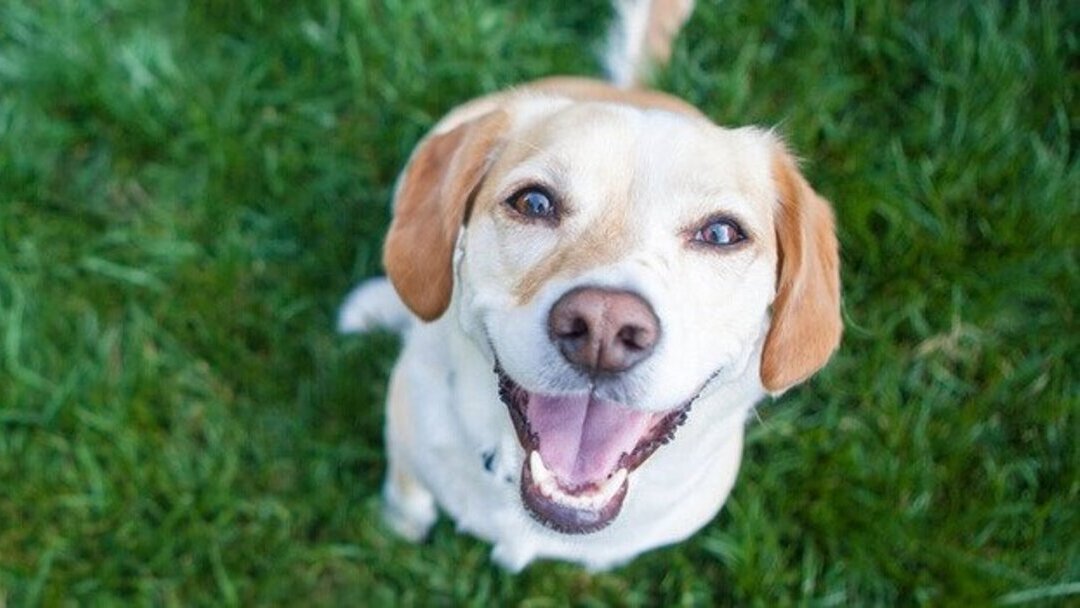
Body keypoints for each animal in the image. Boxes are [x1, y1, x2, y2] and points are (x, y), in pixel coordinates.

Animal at [339, 0, 842, 570]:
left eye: (720, 233)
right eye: (534, 202)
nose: (603, 327)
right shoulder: (407, 444)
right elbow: (407, 496)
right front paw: (397, 528)